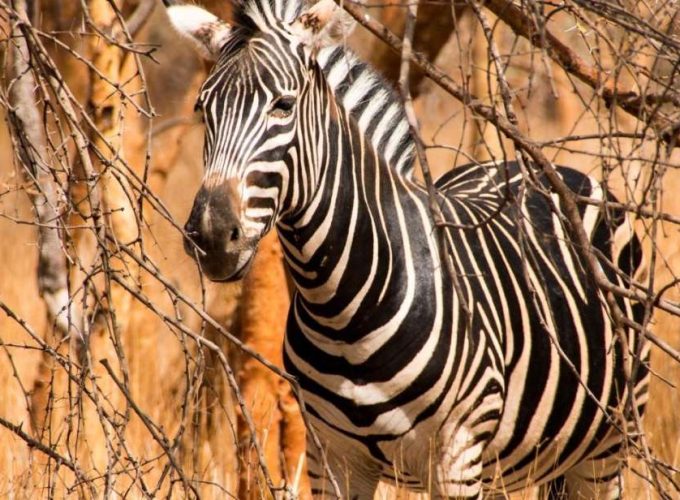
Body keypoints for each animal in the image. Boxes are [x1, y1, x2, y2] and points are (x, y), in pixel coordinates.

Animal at [163, 0, 648, 496]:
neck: (341, 308)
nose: (212, 235)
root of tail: (551, 170)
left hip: (609, 442)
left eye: (283, 106)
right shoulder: (332, 458)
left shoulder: (457, 456)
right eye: (203, 109)